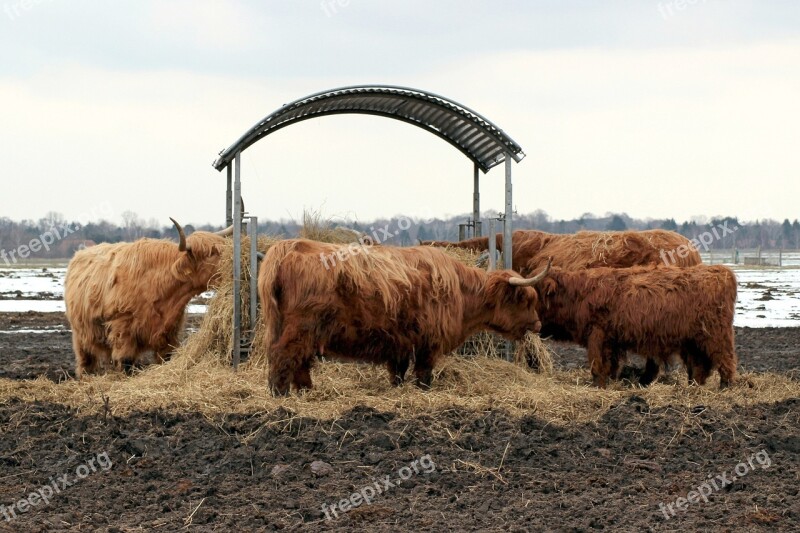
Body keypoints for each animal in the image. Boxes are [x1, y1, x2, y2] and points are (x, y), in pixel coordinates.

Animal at [66, 218, 234, 376]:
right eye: (211, 253)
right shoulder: (123, 329)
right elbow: (126, 362)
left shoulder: (169, 331)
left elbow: (166, 358)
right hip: (80, 332)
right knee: (85, 358)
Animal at [256, 239, 552, 392]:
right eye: (525, 299)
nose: (538, 324)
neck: (461, 292)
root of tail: (288, 246)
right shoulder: (428, 342)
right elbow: (423, 373)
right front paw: (423, 391)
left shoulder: (399, 341)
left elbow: (398, 371)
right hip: (301, 327)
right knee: (284, 356)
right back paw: (280, 394)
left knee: (298, 361)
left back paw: (306, 391)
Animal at [536, 264, 736, 386]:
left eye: (535, 293)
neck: (579, 295)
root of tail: (722, 272)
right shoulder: (612, 341)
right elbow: (610, 366)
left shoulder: (597, 335)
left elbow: (597, 367)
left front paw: (599, 387)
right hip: (694, 341)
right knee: (699, 367)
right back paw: (694, 387)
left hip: (716, 335)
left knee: (727, 361)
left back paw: (725, 387)